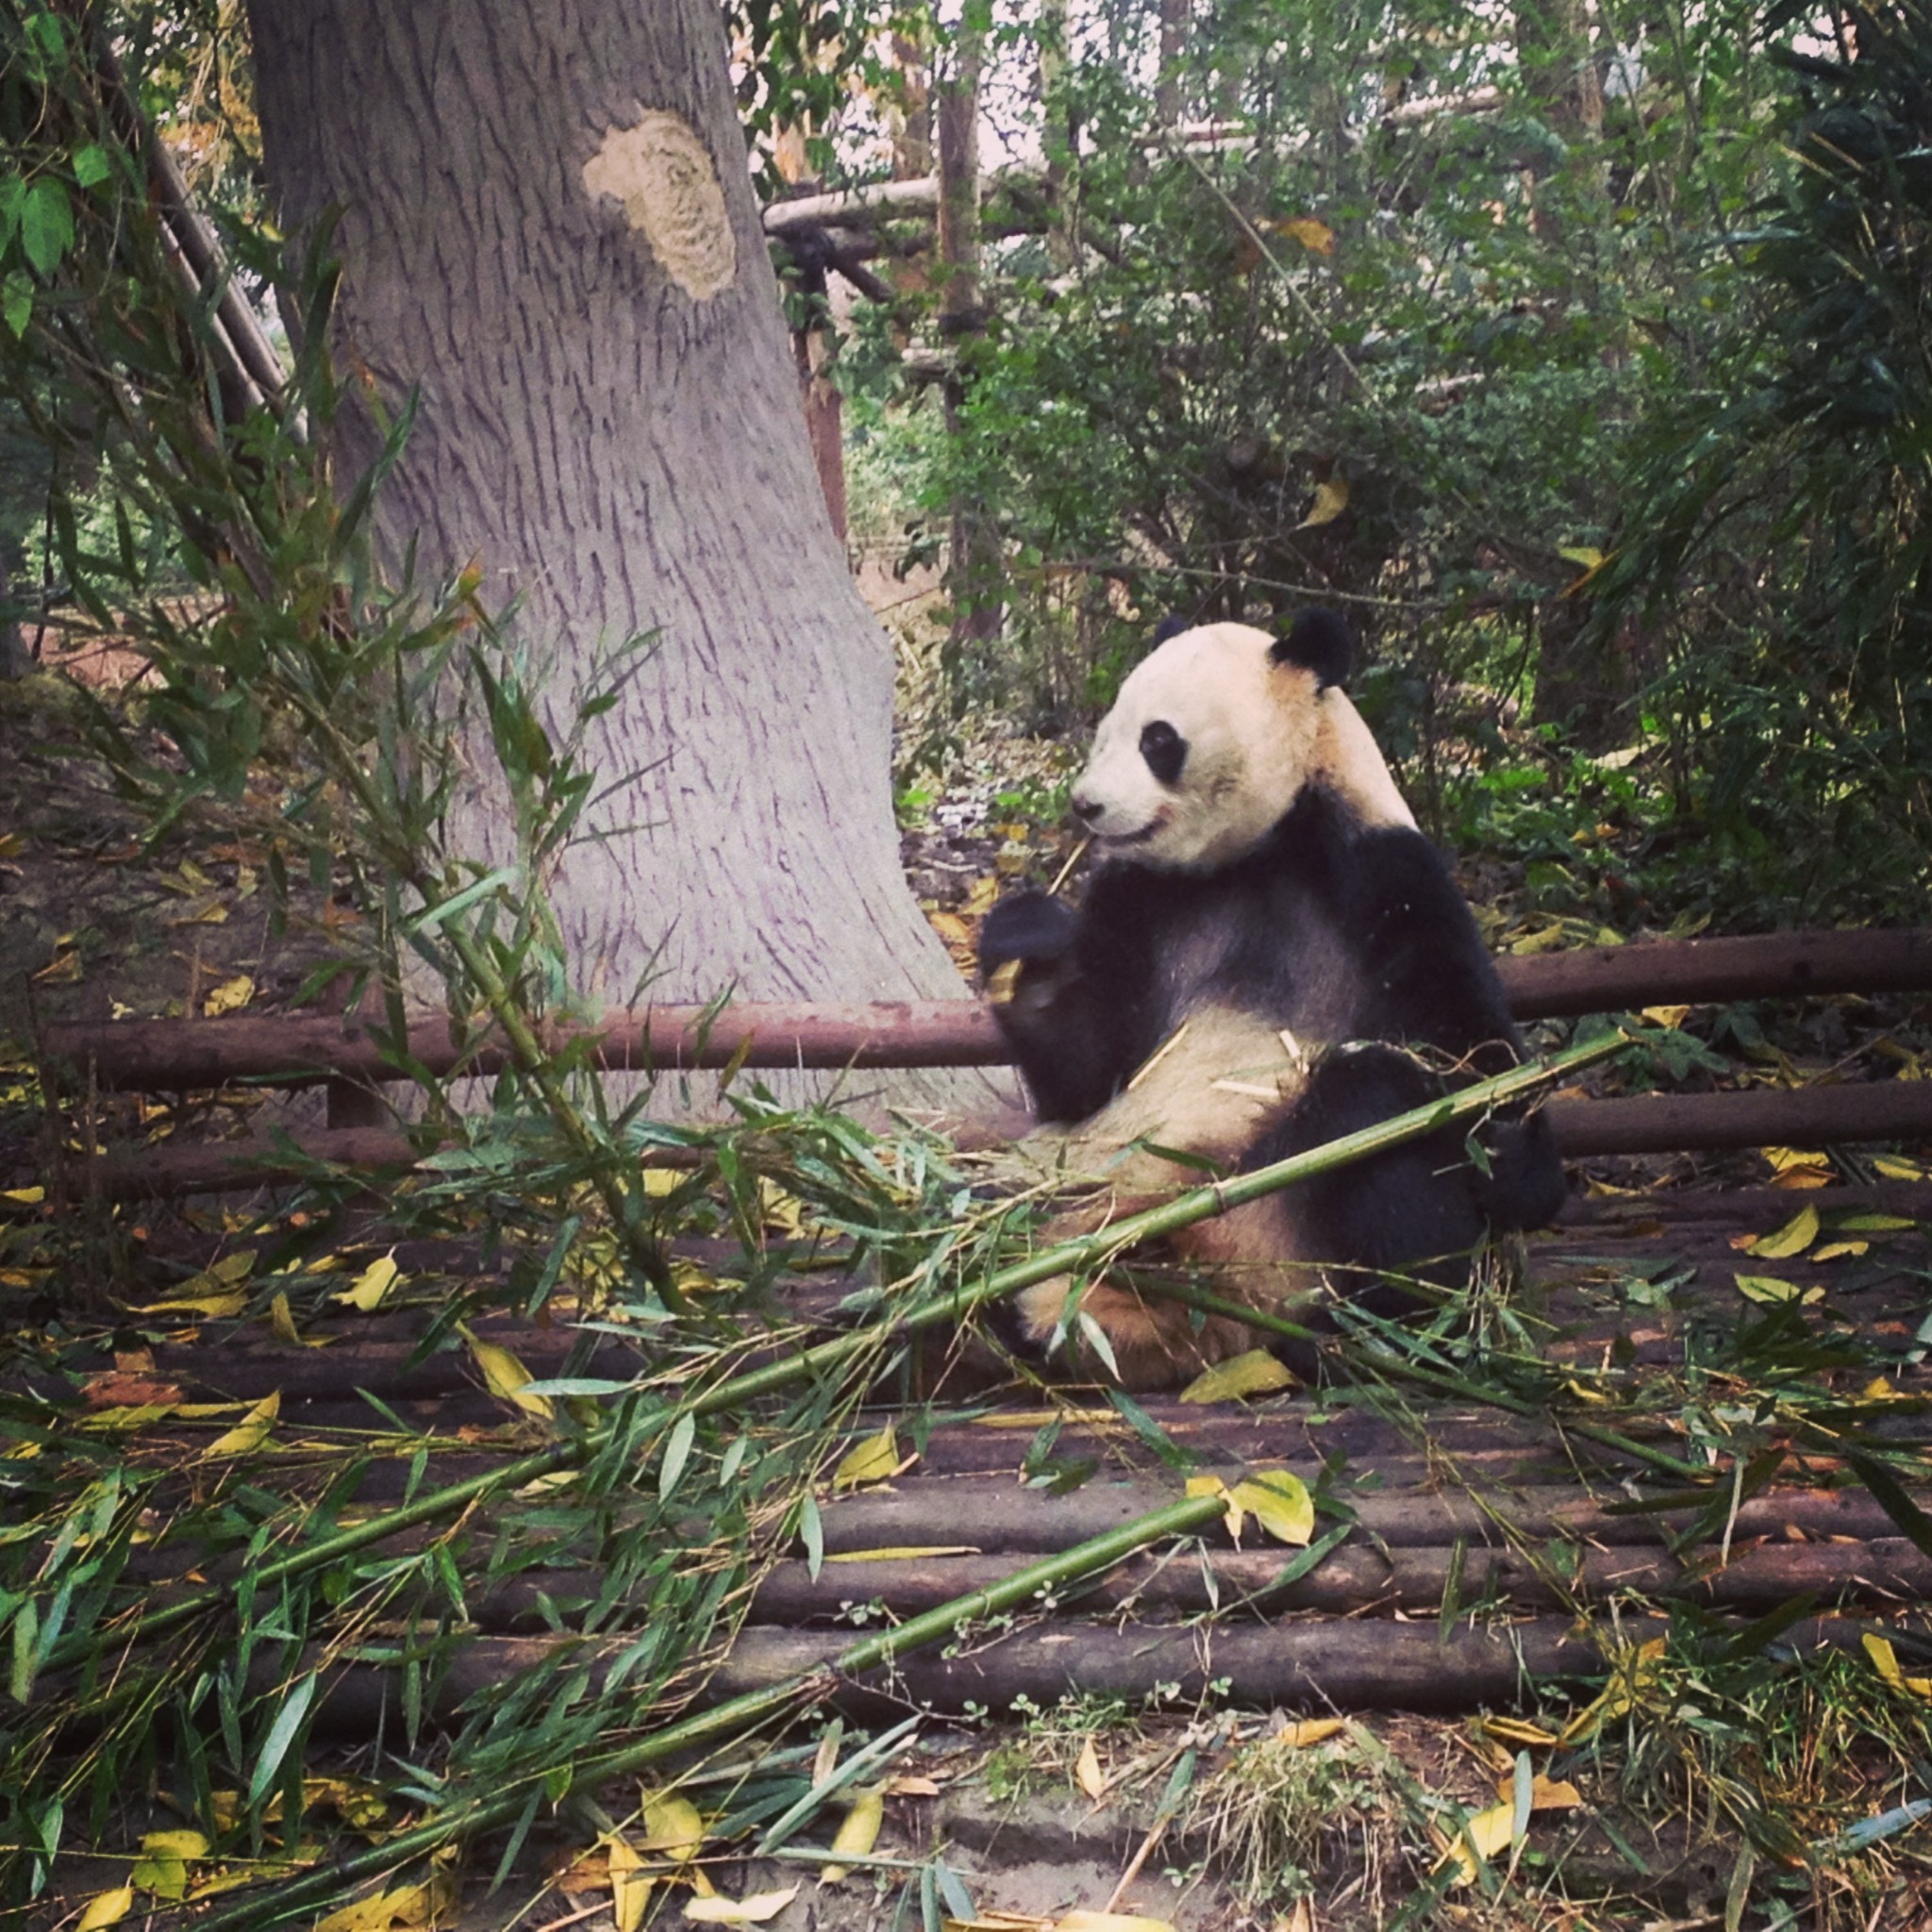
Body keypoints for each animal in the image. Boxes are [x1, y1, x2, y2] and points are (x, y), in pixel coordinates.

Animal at [981, 614, 1568, 1391]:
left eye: (1158, 740)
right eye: (1106, 730)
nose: (1086, 806)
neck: (1251, 851)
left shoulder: (1379, 871)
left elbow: (1459, 1032)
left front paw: (1511, 1149)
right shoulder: (1135, 897)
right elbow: (1089, 1065)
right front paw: (1027, 940)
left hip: (1286, 1226)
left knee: (1378, 1109)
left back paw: (1381, 1338)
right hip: (1073, 1181)